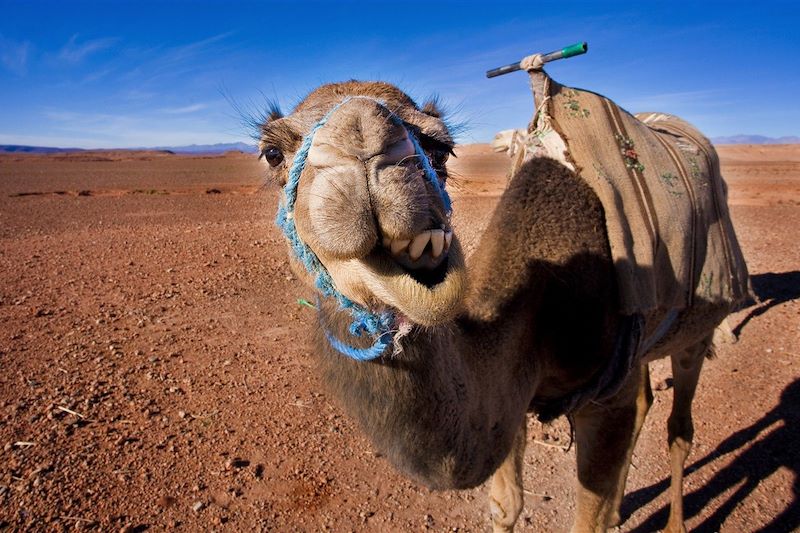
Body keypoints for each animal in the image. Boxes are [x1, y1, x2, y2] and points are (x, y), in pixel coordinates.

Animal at [260, 76, 752, 532]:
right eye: (272, 152)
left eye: (442, 148)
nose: (362, 137)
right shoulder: (512, 394)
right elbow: (505, 505)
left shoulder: (605, 396)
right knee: (647, 400)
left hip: (695, 332)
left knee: (679, 427)